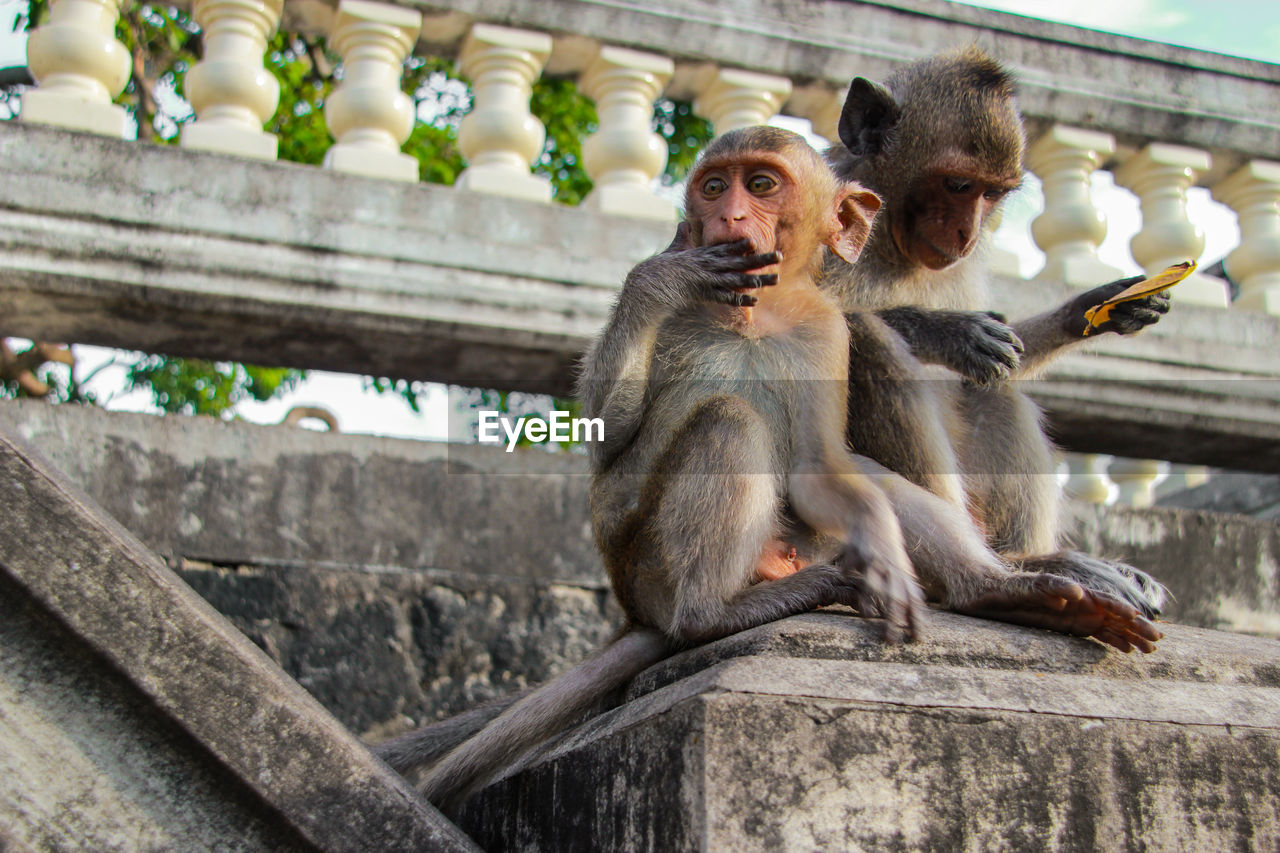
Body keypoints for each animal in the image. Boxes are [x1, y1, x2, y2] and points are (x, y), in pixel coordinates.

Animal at [373, 124, 936, 809]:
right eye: (715, 186)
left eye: (762, 184)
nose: (730, 216)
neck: (752, 310)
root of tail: (631, 608)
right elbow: (607, 439)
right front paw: (659, 276)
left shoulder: (826, 330)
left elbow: (816, 467)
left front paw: (883, 549)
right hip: (644, 558)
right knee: (728, 420)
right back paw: (708, 616)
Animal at [819, 43, 1172, 635]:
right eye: (959, 185)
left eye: (992, 194)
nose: (965, 232)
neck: (886, 230)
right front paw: (948, 331)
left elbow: (1011, 355)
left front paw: (1094, 307)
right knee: (868, 338)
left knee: (994, 390)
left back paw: (1024, 556)